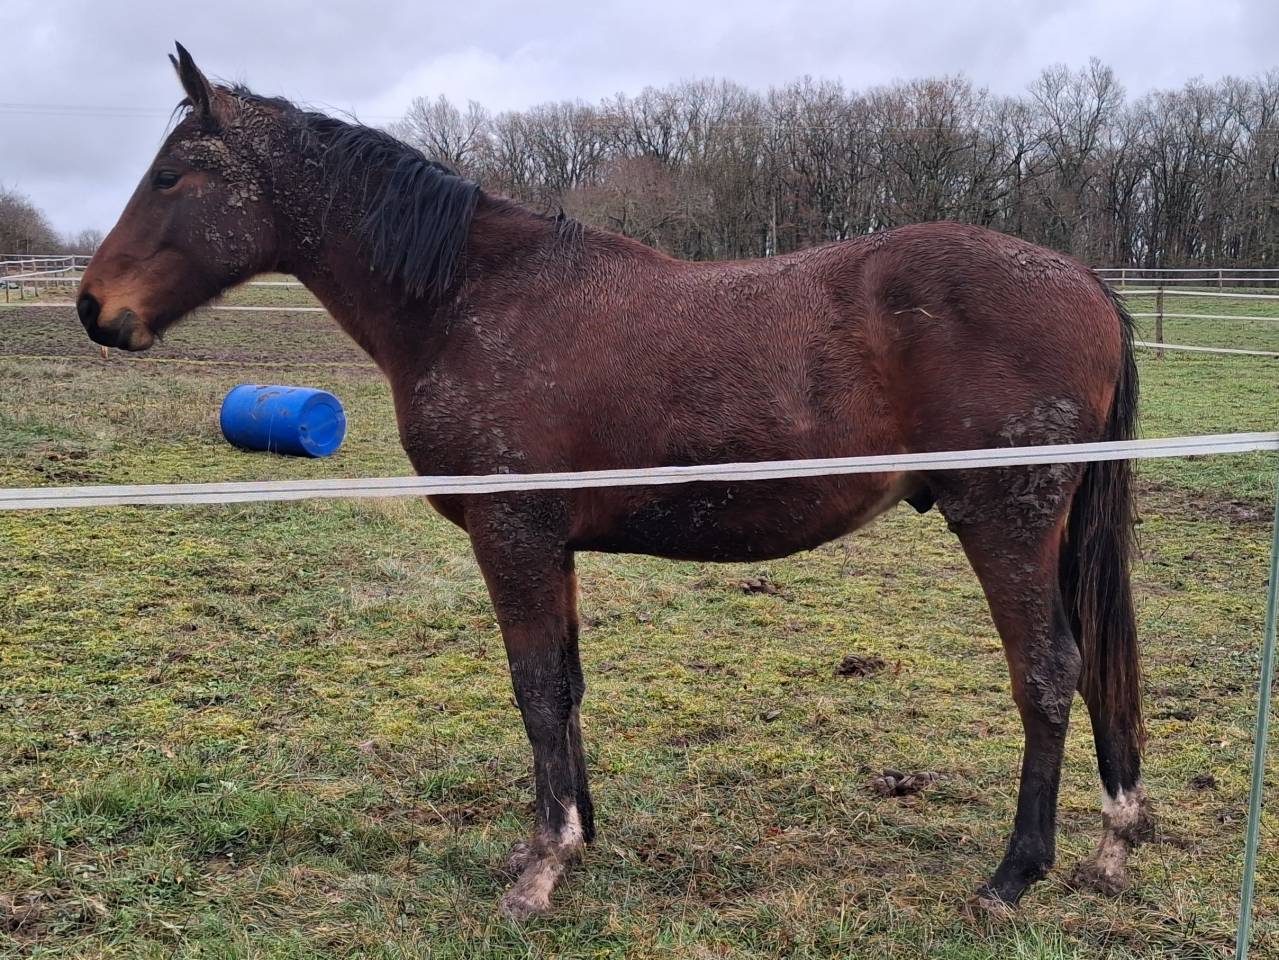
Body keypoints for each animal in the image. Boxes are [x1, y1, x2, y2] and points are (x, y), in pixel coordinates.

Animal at [76, 44, 1153, 920]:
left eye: (171, 176)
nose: (96, 308)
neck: (473, 299)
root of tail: (1087, 283)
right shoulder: (549, 544)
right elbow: (565, 684)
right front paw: (571, 838)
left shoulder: (511, 534)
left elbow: (535, 688)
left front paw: (541, 867)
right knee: (1091, 662)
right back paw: (1111, 844)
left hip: (1005, 521)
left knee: (1047, 671)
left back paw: (1014, 874)